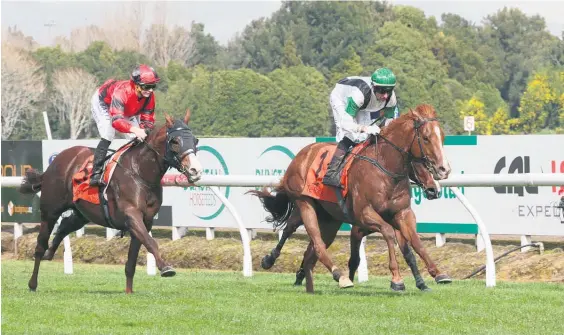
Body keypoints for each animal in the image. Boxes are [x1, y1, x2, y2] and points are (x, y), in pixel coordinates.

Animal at [19, 110, 203, 294]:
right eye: (175, 141)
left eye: (195, 140)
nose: (196, 170)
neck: (139, 172)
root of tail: (56, 162)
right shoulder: (132, 214)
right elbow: (151, 242)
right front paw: (165, 267)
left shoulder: (146, 220)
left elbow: (132, 259)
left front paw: (129, 291)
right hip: (50, 211)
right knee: (40, 245)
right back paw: (33, 283)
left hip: (82, 214)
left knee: (64, 226)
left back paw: (50, 253)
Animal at [249, 104, 452, 294]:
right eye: (426, 138)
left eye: (442, 137)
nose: (444, 170)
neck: (385, 169)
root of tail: (301, 154)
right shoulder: (364, 215)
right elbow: (387, 234)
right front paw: (396, 279)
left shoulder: (402, 213)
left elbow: (414, 242)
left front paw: (436, 274)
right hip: (304, 204)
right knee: (308, 239)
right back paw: (334, 275)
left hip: (329, 219)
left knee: (311, 249)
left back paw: (309, 281)